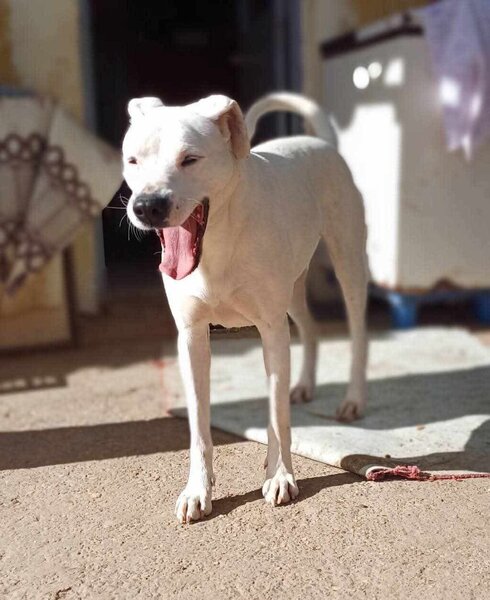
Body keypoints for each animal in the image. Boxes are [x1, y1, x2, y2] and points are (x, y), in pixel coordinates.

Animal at [122, 92, 369, 523]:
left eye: (190, 159)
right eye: (133, 160)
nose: (147, 206)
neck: (219, 240)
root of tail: (322, 143)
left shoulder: (270, 330)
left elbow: (276, 416)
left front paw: (280, 475)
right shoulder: (192, 338)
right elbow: (199, 426)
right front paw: (197, 489)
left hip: (347, 263)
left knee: (357, 331)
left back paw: (352, 398)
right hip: (292, 291)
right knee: (312, 328)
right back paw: (304, 385)